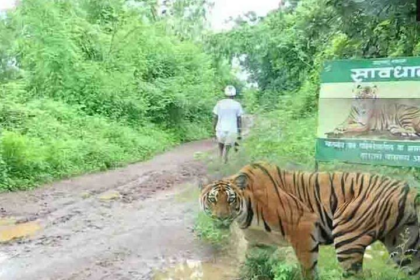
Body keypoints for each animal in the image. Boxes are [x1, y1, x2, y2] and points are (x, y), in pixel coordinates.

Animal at [199, 162, 418, 280]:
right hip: (405, 247)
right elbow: (248, 267)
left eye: (230, 200)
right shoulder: (258, 244)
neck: (245, 212)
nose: (221, 217)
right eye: (213, 200)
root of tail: (409, 190)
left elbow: (308, 269)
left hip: (348, 239)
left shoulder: (303, 227)